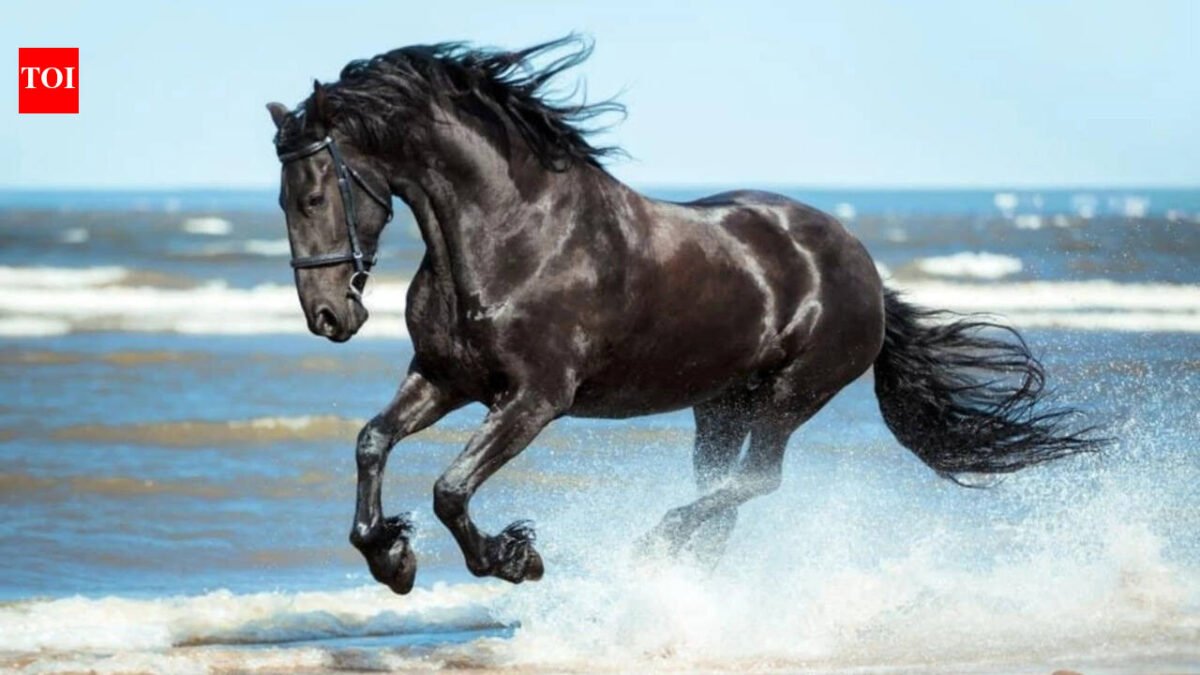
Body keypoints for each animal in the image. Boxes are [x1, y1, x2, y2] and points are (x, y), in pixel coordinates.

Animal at [265, 36, 1101, 594]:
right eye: (281, 198)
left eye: (314, 193)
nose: (329, 315)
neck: (511, 233)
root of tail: (862, 264)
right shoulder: (444, 377)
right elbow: (373, 442)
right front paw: (390, 556)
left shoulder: (535, 398)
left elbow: (450, 487)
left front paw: (512, 556)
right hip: (720, 405)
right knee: (726, 492)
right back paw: (682, 573)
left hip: (792, 394)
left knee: (756, 481)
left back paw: (655, 545)